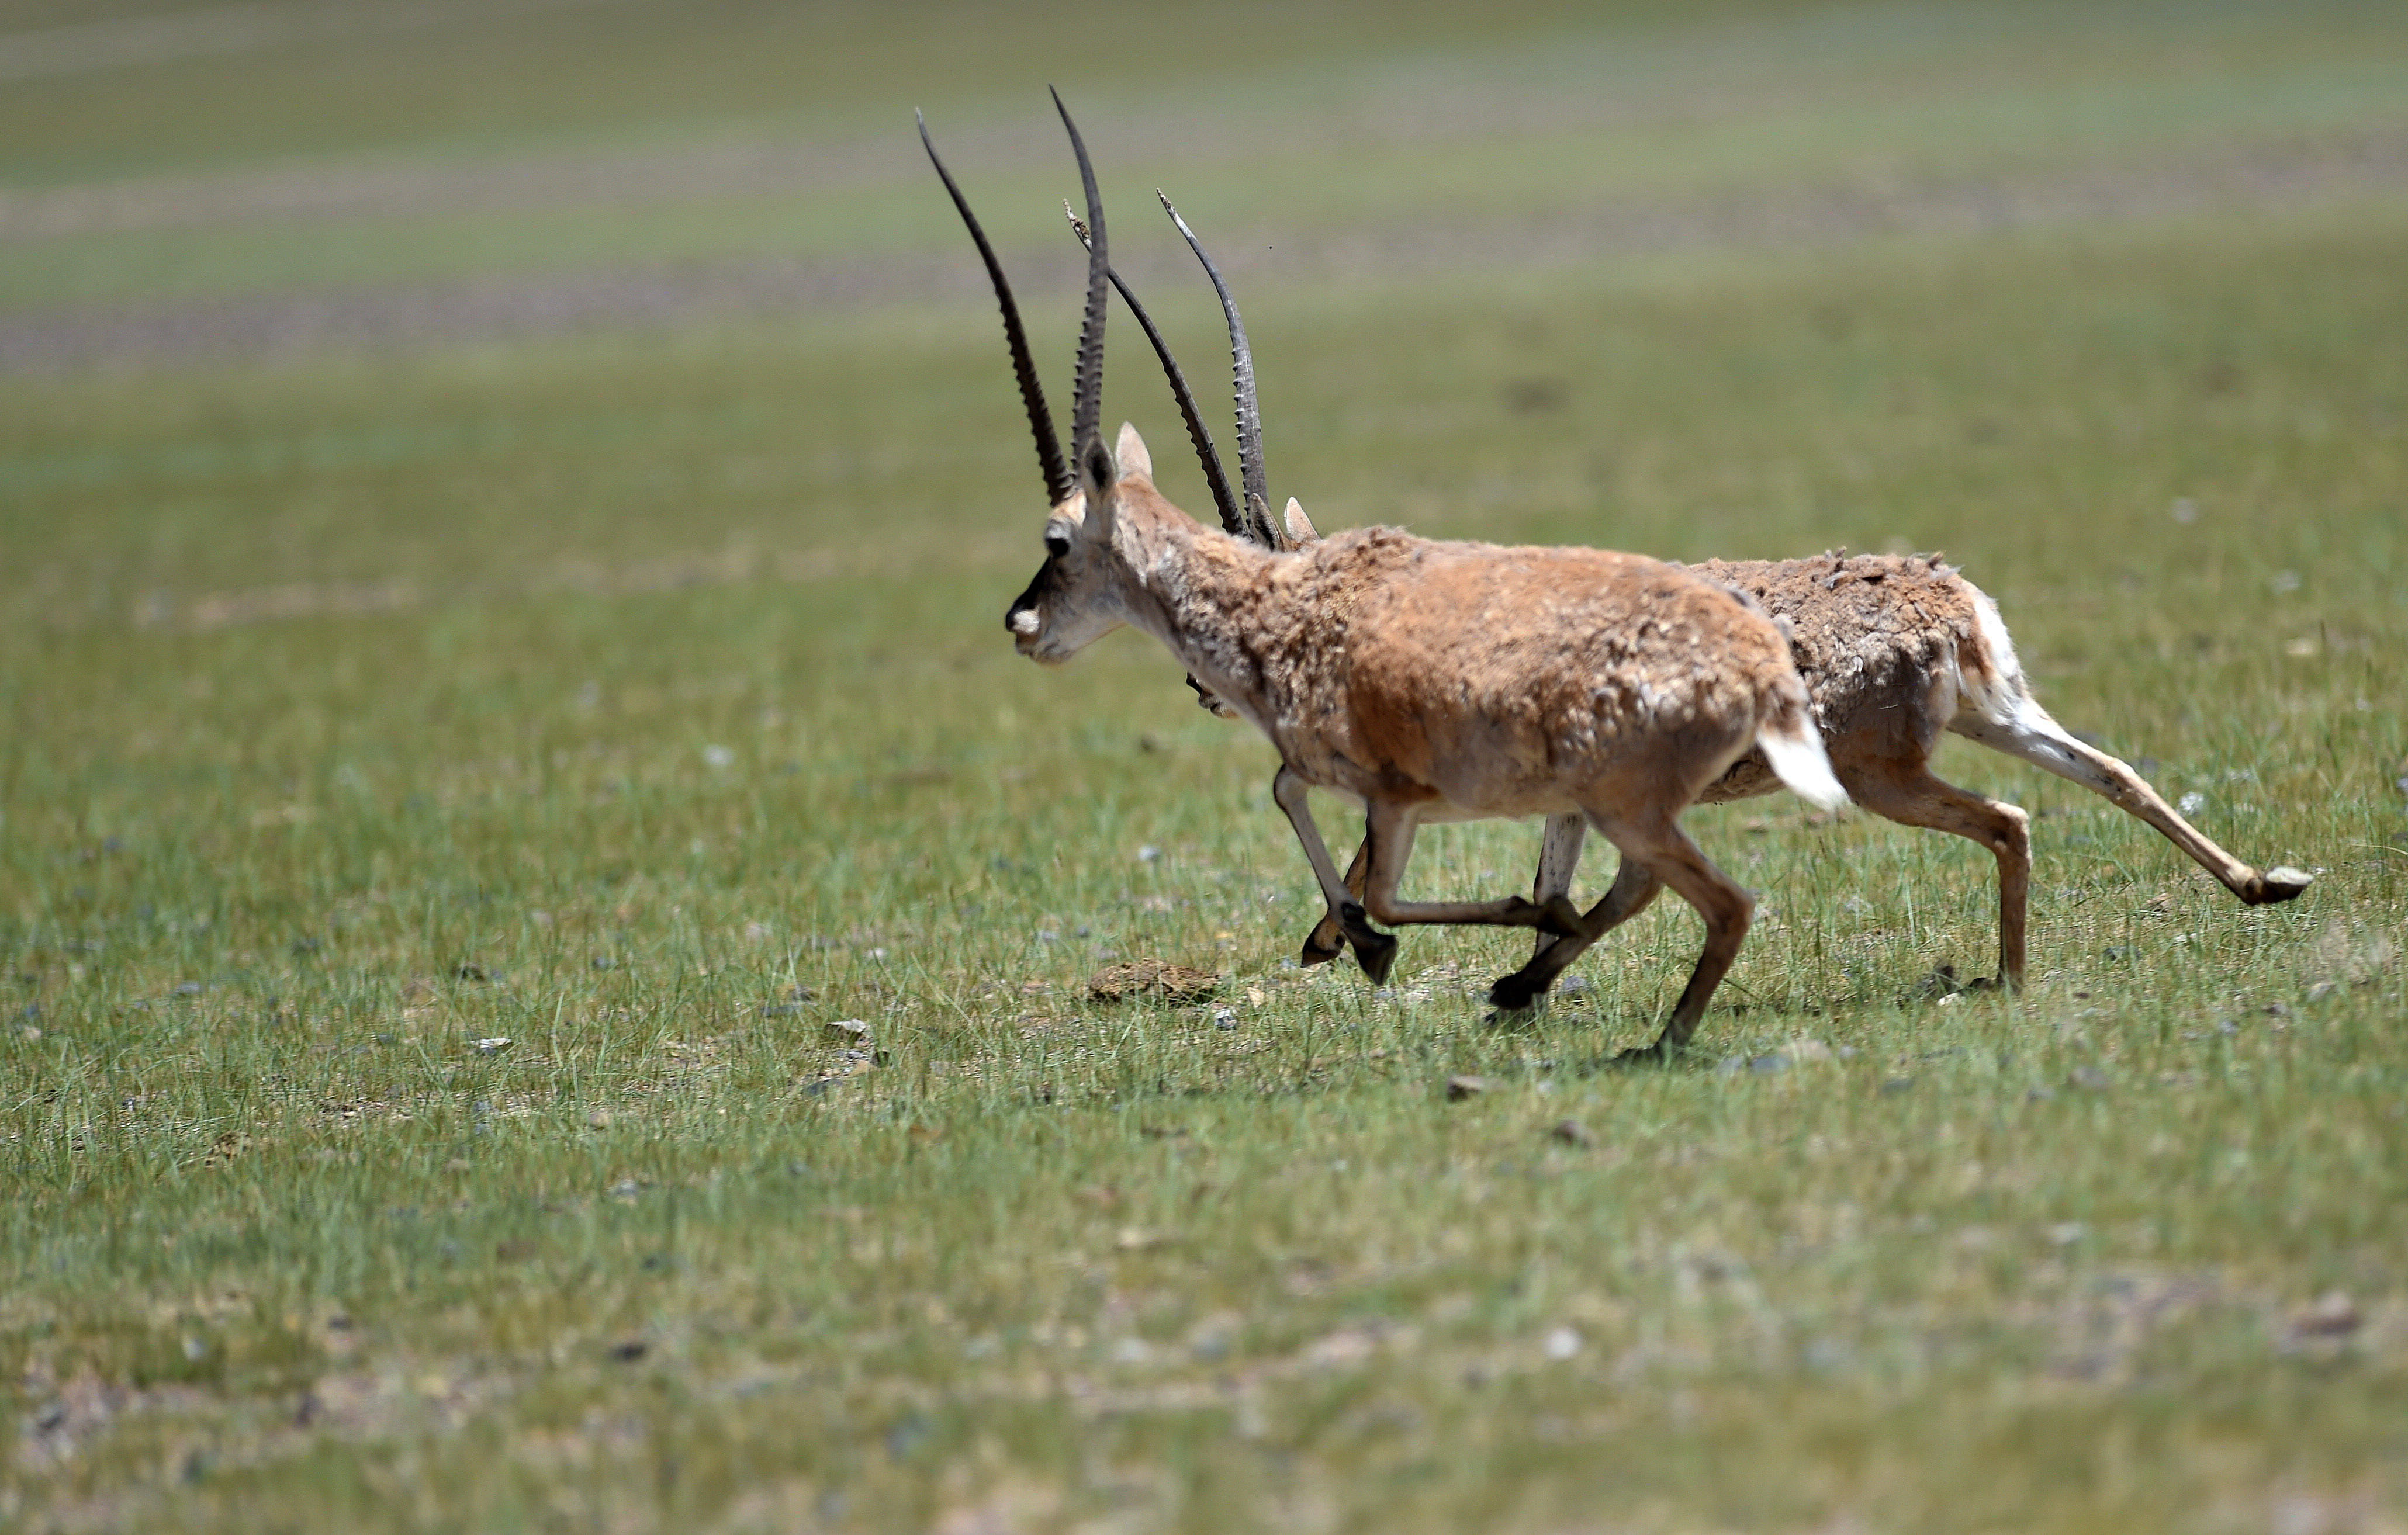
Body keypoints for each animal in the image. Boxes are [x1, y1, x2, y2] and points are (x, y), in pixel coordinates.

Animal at [1127, 202, 2312, 1000]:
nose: (1197, 684)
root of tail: (1944, 600)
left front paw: (1379, 947)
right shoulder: (1577, 795)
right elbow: (1563, 881)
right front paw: (1509, 976)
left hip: (1886, 774)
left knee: (2011, 819)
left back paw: (2010, 976)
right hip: (1996, 714)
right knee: (2111, 771)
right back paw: (2266, 883)